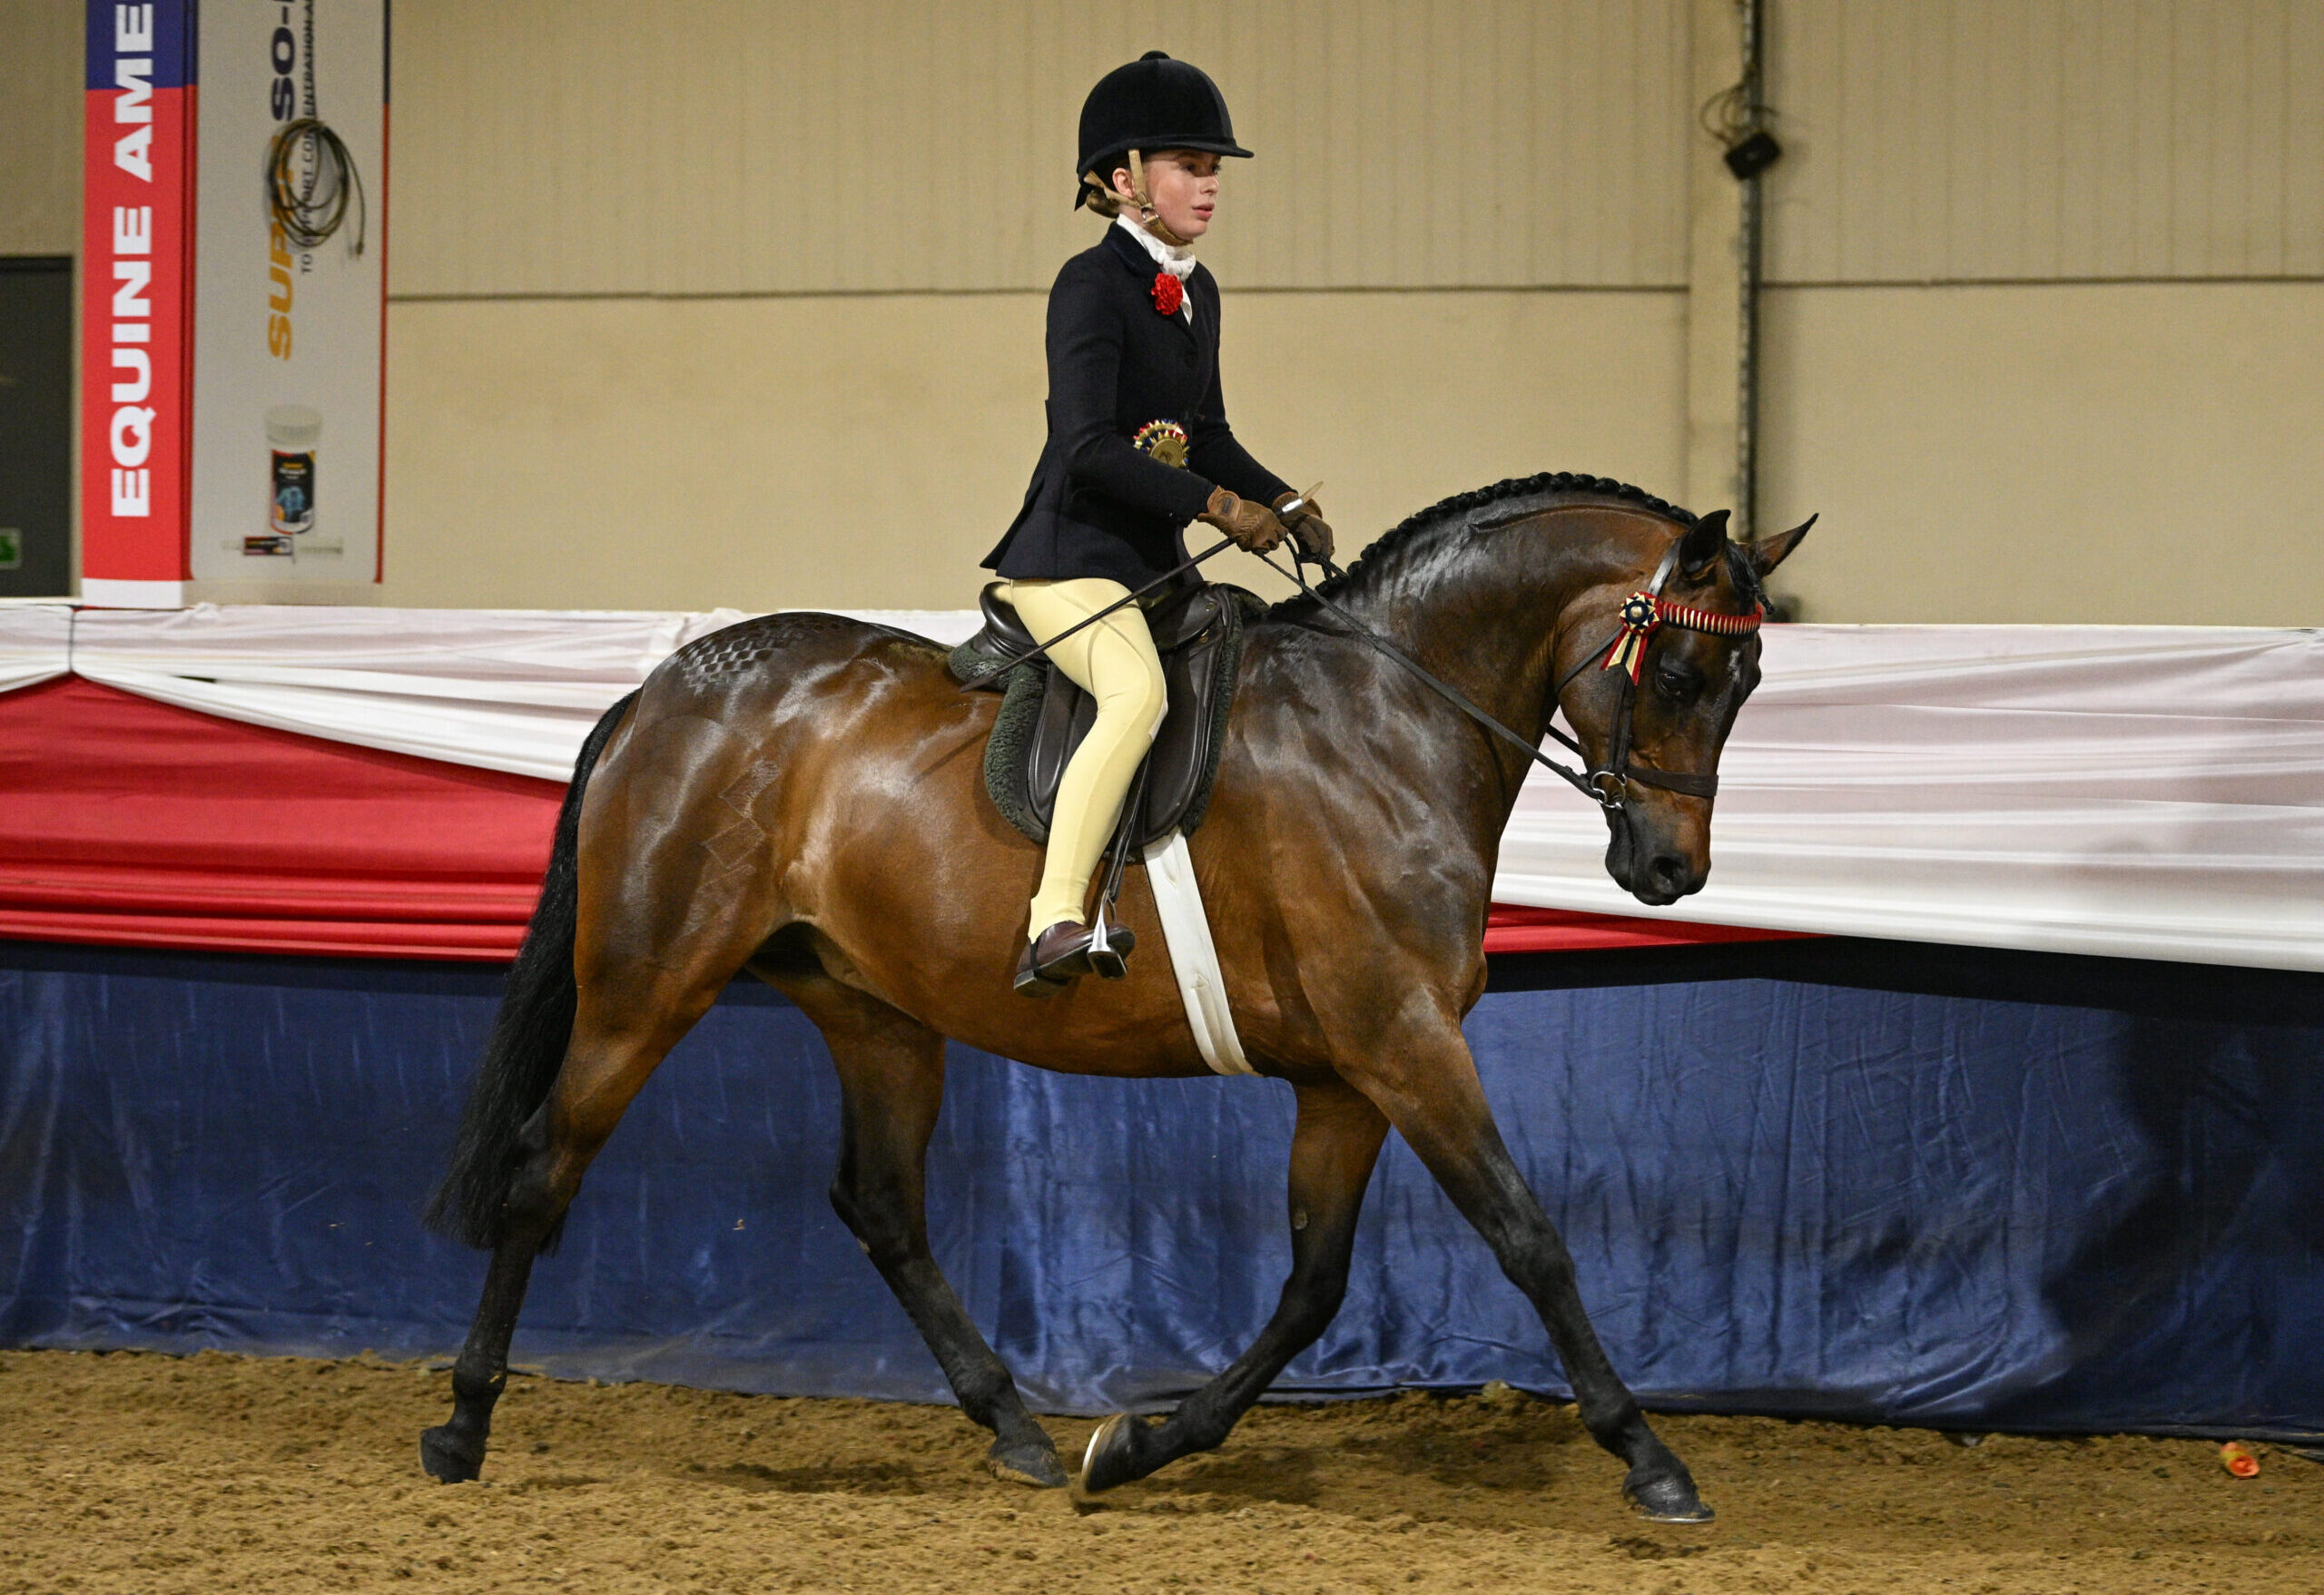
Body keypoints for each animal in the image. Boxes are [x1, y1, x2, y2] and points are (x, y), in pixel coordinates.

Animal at [419, 472, 1809, 1523]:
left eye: (1745, 687)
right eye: (1677, 677)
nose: (1671, 871)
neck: (1389, 720)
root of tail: (668, 688)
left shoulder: (1346, 1077)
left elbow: (1313, 1286)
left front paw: (1136, 1443)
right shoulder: (1405, 1043)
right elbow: (1528, 1236)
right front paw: (1652, 1458)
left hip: (876, 1013)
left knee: (882, 1206)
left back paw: (1020, 1429)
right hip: (648, 983)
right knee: (546, 1167)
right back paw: (464, 1423)